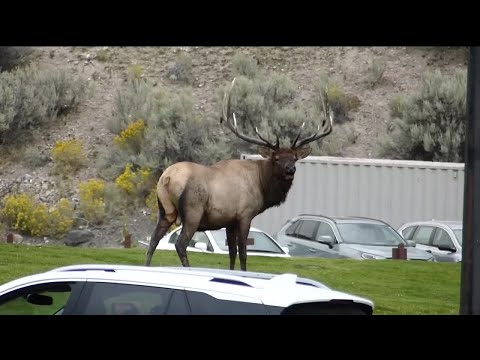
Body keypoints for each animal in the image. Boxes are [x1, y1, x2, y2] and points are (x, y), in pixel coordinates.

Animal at [146, 78, 334, 270]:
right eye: (276, 158)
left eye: (294, 158)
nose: (290, 170)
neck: (262, 185)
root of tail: (167, 178)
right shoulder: (245, 215)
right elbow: (243, 253)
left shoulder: (229, 221)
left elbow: (232, 253)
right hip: (193, 210)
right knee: (180, 244)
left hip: (165, 210)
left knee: (153, 240)